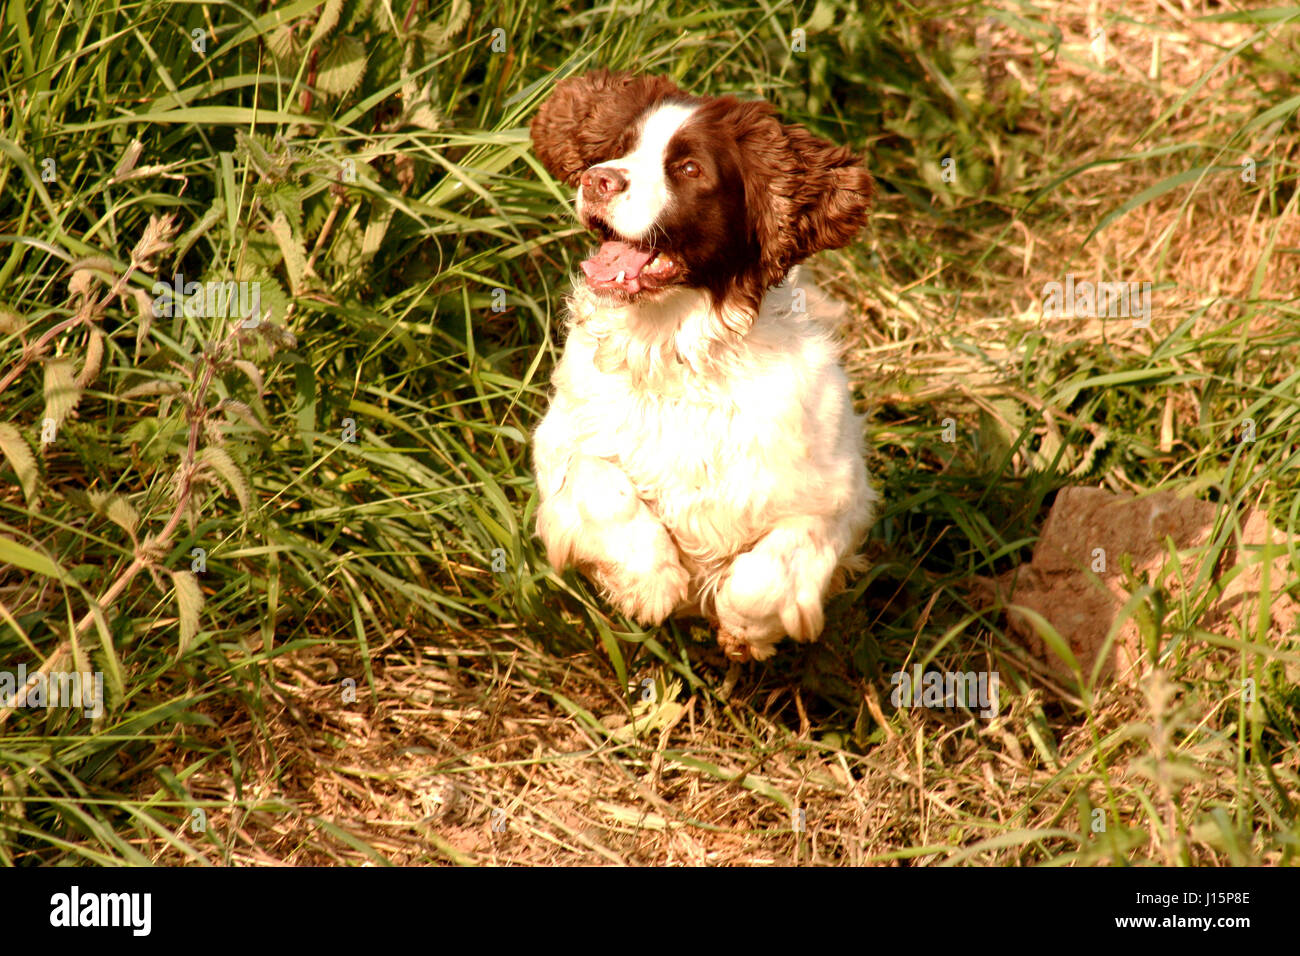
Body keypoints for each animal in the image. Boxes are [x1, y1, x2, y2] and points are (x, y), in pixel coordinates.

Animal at [533, 69, 878, 665]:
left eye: (690, 169)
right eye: (620, 148)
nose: (599, 180)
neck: (675, 348)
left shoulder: (838, 496)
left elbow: (770, 568)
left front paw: (746, 628)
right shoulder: (561, 440)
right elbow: (601, 478)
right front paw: (649, 583)